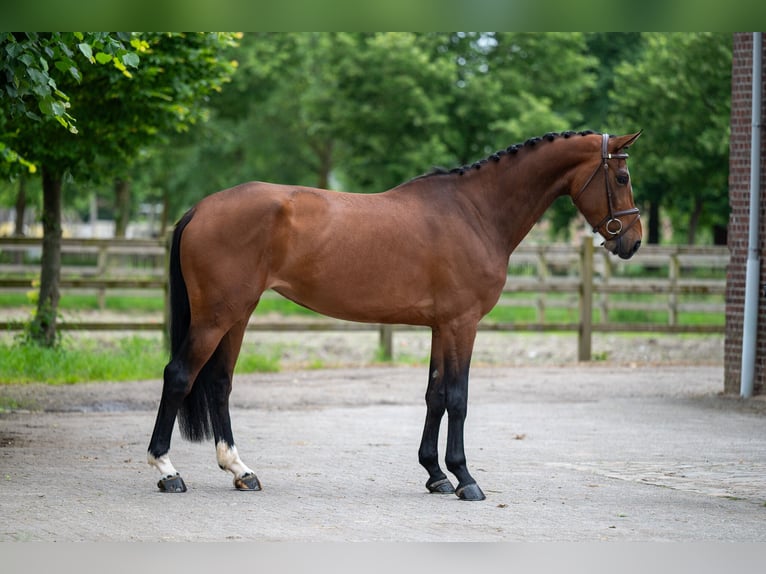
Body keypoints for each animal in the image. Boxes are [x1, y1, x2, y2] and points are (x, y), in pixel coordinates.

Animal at [148, 129, 640, 500]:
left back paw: (241, 470)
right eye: (621, 175)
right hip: (216, 317)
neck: (475, 212)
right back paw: (167, 471)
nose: (632, 241)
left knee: (219, 383)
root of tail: (200, 208)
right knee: (179, 375)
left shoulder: (442, 326)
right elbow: (458, 398)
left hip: (238, 314)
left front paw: (436, 475)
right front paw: (465, 479)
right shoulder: (463, 324)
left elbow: (435, 396)